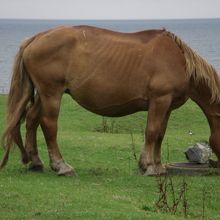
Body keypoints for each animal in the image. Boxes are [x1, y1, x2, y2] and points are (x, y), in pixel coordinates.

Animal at [0, 25, 220, 175]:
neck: (180, 62)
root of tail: (36, 38)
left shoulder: (167, 106)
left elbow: (160, 134)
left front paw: (158, 166)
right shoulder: (159, 100)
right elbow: (151, 131)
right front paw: (148, 166)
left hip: (43, 95)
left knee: (31, 119)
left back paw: (36, 162)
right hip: (51, 93)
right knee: (48, 124)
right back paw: (61, 166)